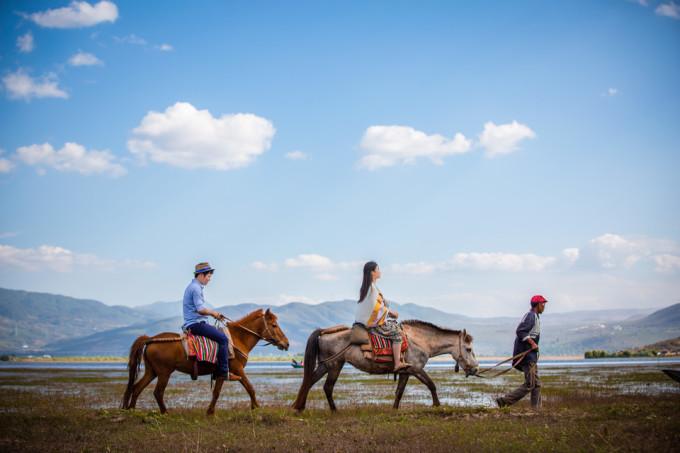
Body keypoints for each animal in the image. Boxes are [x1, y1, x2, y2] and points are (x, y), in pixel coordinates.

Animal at [121, 308, 288, 414]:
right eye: (274, 325)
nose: (286, 343)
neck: (237, 339)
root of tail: (151, 339)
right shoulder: (237, 369)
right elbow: (250, 388)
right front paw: (257, 407)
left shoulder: (222, 373)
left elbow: (216, 392)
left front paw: (210, 411)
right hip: (164, 373)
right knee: (157, 392)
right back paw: (165, 412)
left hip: (152, 372)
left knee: (137, 388)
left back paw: (132, 410)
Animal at [292, 320, 478, 412]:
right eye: (468, 349)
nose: (475, 369)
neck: (421, 341)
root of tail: (323, 332)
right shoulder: (416, 369)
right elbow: (431, 384)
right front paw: (437, 405)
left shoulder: (406, 371)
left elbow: (399, 391)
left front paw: (394, 409)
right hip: (335, 366)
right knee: (327, 387)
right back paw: (333, 410)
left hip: (325, 365)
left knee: (309, 382)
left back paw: (298, 406)